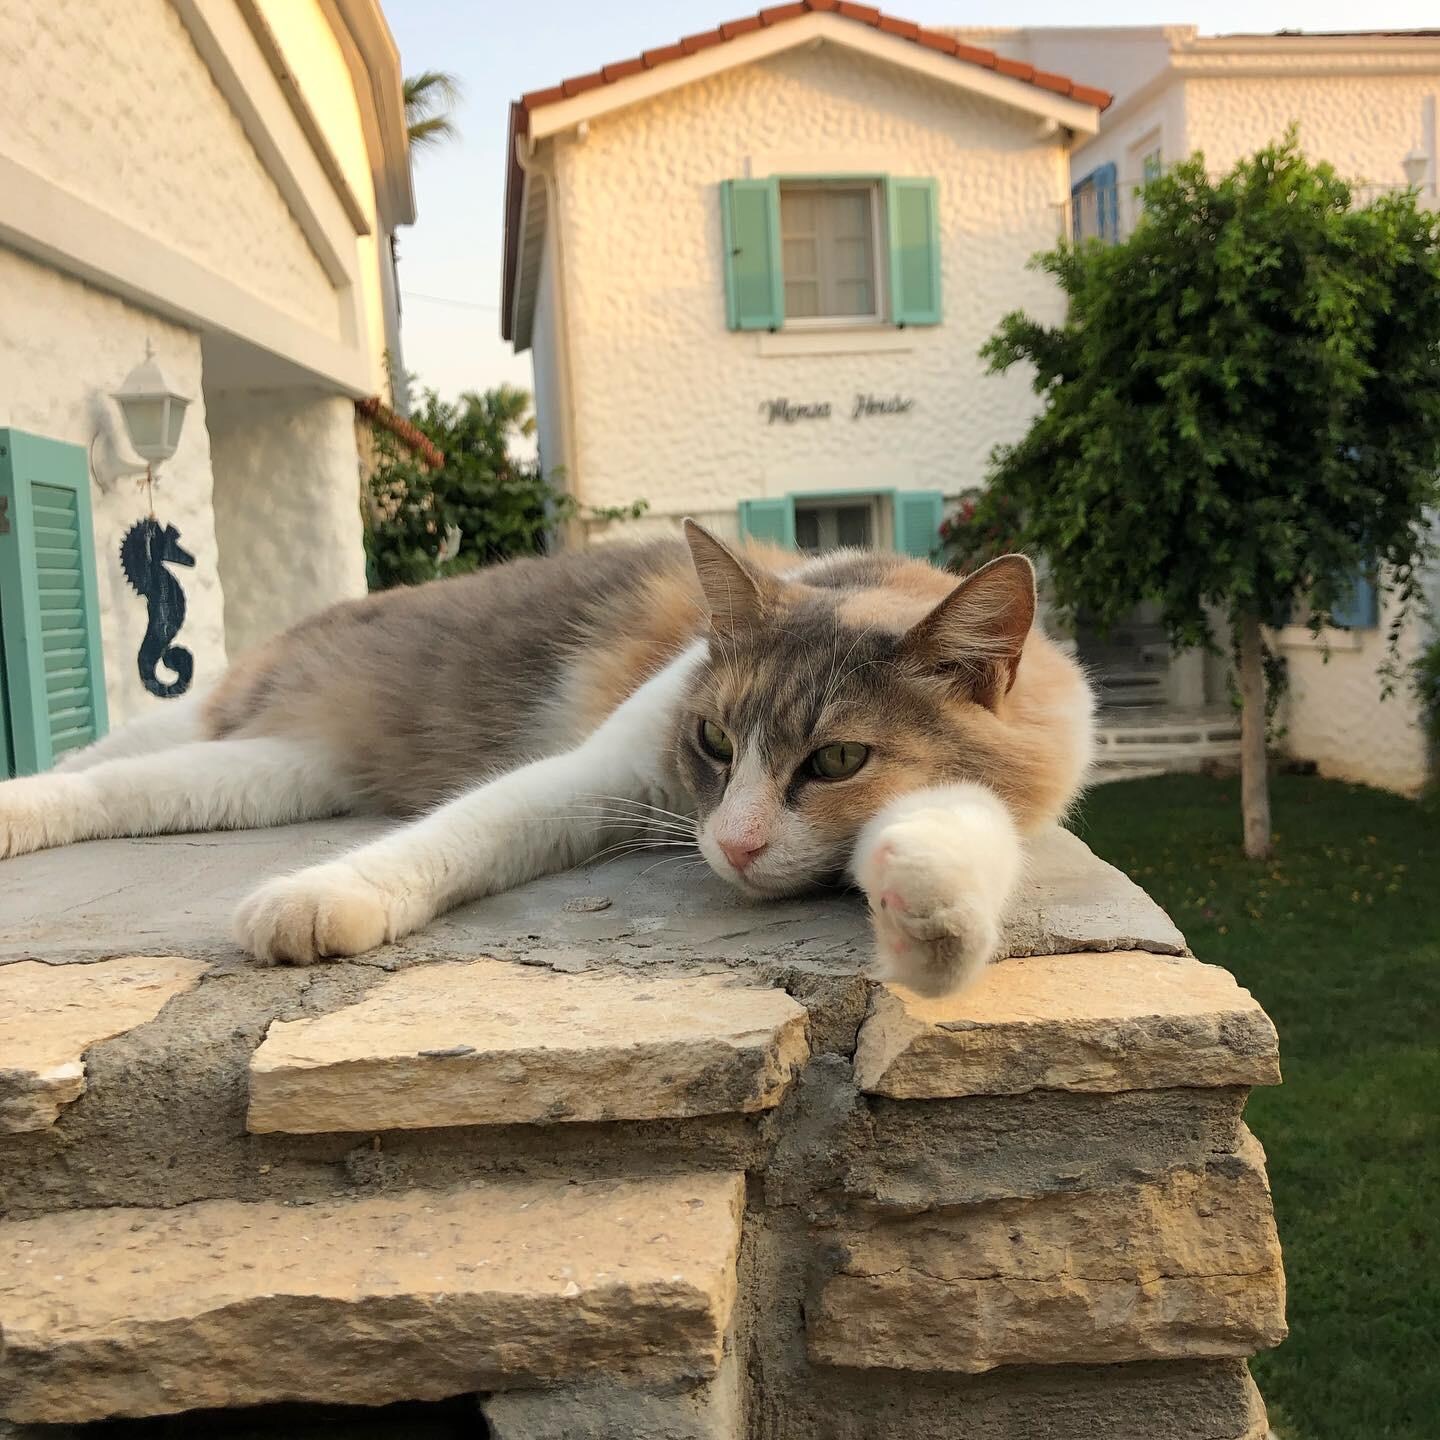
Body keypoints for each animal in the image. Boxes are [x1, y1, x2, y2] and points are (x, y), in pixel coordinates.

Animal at [0, 522, 1094, 996]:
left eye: (836, 762)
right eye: (712, 741)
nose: (734, 846)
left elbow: (964, 832)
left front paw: (933, 916)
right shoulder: (602, 775)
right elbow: (462, 830)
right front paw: (320, 899)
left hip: (272, 773)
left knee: (124, 787)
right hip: (213, 727)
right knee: (95, 769)